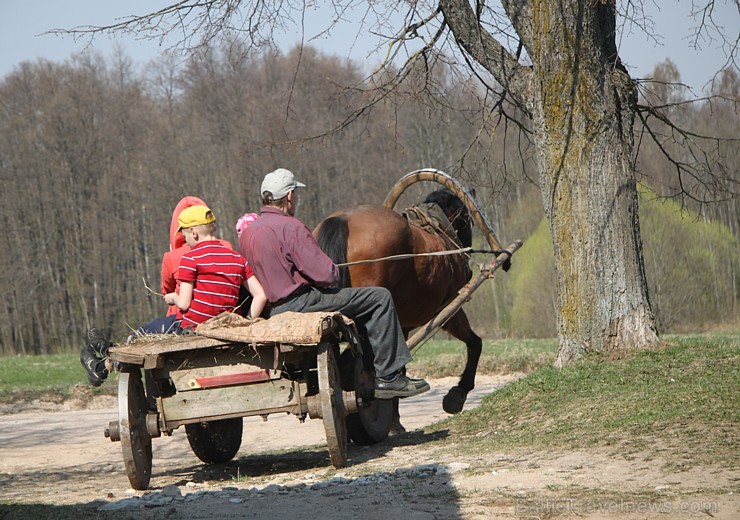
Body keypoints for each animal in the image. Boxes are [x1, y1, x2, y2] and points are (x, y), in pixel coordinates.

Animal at [316, 189, 482, 416]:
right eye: (467, 217)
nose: (468, 270)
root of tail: (342, 219)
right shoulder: (449, 310)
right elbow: (475, 343)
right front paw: (459, 392)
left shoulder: (403, 325)